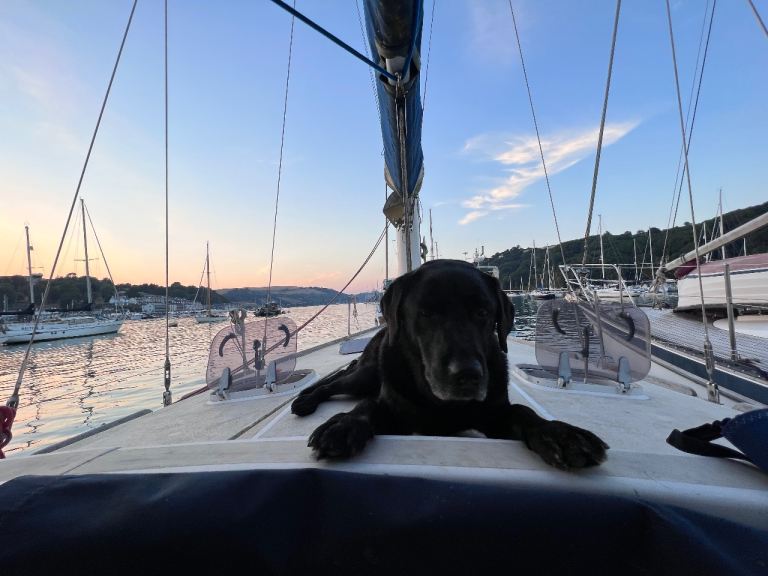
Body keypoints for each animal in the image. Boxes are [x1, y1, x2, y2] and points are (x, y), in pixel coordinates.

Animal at [292, 259, 608, 470]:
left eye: (482, 312)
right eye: (426, 313)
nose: (467, 375)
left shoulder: (495, 413)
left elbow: (523, 411)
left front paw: (561, 435)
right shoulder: (391, 406)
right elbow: (367, 407)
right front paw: (343, 425)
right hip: (367, 375)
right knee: (334, 384)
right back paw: (305, 400)